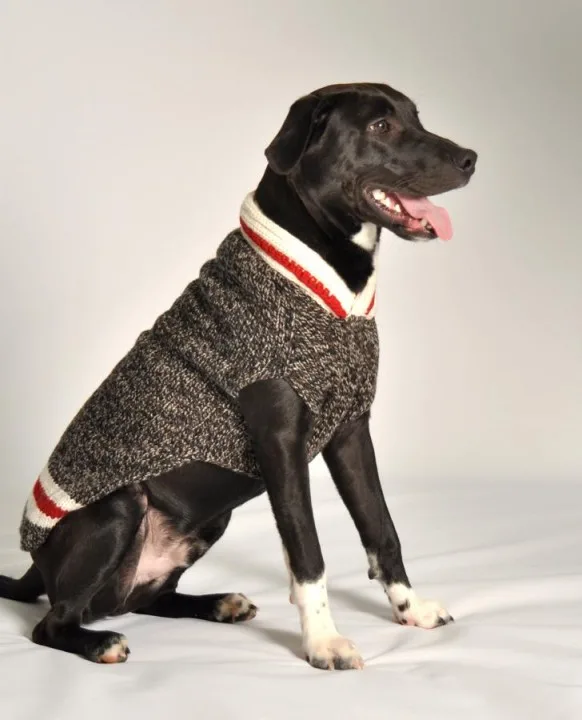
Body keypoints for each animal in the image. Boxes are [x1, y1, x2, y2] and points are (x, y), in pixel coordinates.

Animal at [0, 82, 476, 670]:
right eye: (380, 127)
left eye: (416, 116)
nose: (470, 159)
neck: (325, 278)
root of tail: (35, 565)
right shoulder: (280, 442)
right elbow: (308, 551)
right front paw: (323, 642)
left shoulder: (350, 431)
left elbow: (381, 529)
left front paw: (411, 609)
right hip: (121, 505)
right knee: (55, 621)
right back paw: (99, 641)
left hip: (209, 519)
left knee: (142, 597)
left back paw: (217, 603)